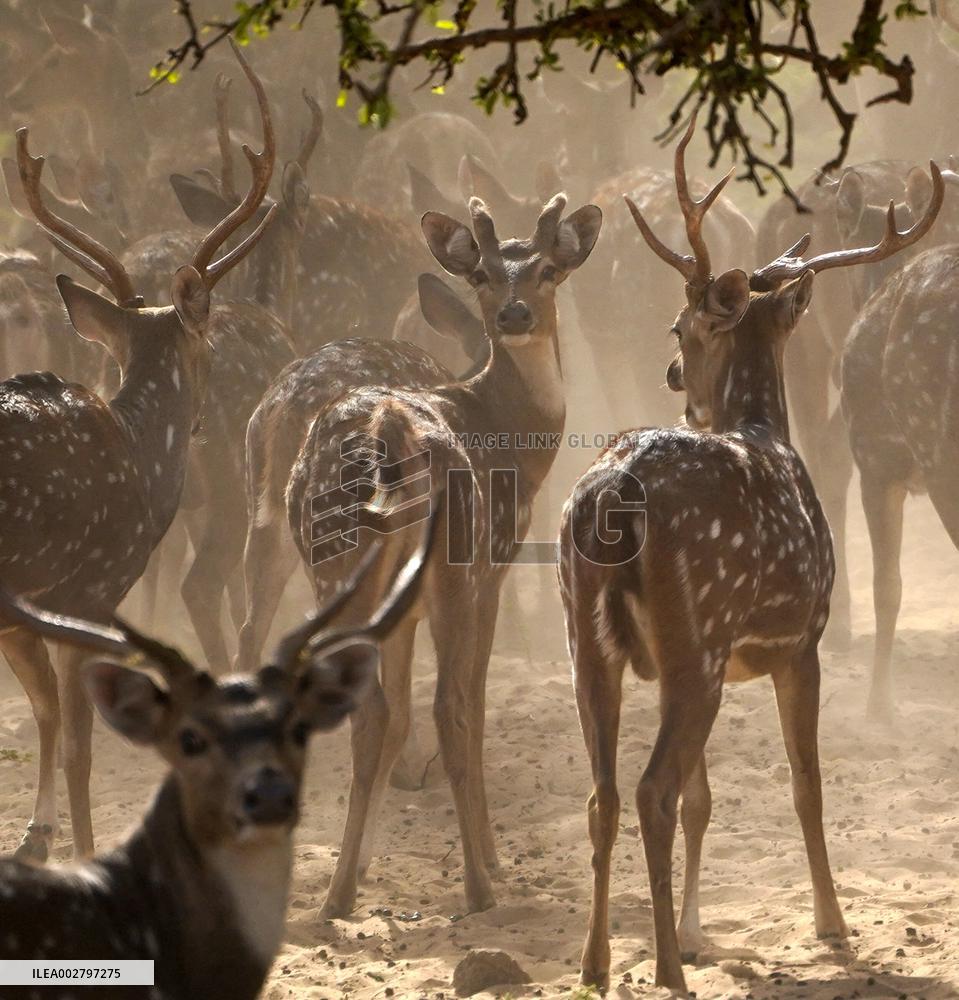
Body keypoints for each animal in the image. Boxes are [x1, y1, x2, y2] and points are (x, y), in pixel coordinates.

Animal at [0, 39, 275, 864]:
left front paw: (37, 840)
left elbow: (49, 722)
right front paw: (88, 860)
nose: (209, 420)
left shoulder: (26, 611)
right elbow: (80, 746)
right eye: (207, 342)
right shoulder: (88, 591)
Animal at [282, 193, 601, 917]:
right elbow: (471, 706)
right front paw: (491, 858)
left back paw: (335, 898)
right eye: (481, 274)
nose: (514, 314)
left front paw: (361, 865)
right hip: (453, 562)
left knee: (371, 710)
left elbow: (395, 715)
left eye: (545, 269)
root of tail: (390, 431)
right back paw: (480, 888)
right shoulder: (494, 569)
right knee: (450, 708)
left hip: (333, 562)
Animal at [558, 117, 944, 995]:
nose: (673, 374)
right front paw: (832, 925)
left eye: (679, 328)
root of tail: (611, 498)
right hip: (694, 639)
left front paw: (698, 930)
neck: (769, 426)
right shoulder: (799, 641)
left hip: (591, 644)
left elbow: (707, 801)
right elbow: (805, 784)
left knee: (604, 792)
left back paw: (596, 961)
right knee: (650, 789)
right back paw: (665, 970)